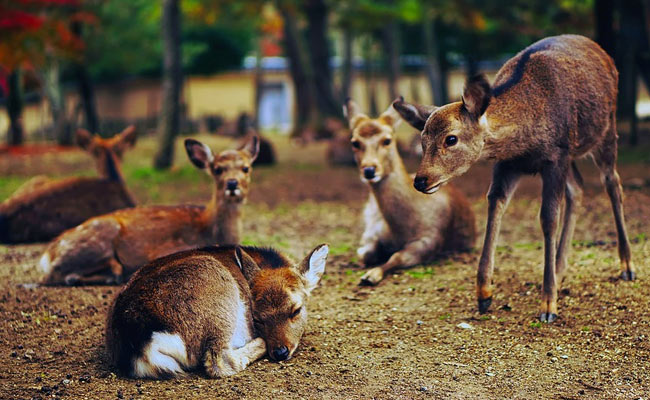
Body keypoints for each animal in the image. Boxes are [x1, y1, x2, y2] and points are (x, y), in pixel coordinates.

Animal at [39, 135, 259, 286]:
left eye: (246, 168)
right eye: (217, 169)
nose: (232, 183)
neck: (209, 228)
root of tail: (46, 256)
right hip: (98, 240)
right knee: (59, 275)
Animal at [105, 243, 328, 379]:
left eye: (296, 310)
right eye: (257, 319)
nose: (280, 352)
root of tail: (141, 346)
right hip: (218, 300)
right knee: (218, 361)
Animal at [343, 99, 476, 286]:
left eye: (387, 140)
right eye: (354, 142)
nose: (369, 170)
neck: (400, 229)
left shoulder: (429, 239)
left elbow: (397, 257)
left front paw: (370, 275)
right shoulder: (373, 231)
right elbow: (365, 253)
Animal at [393, 34, 635, 323]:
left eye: (451, 139)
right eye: (422, 139)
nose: (421, 180)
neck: (524, 141)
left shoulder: (556, 156)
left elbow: (548, 219)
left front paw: (548, 305)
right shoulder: (508, 164)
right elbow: (495, 205)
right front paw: (484, 294)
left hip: (606, 130)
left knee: (613, 184)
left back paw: (627, 266)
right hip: (573, 155)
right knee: (578, 187)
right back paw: (560, 269)